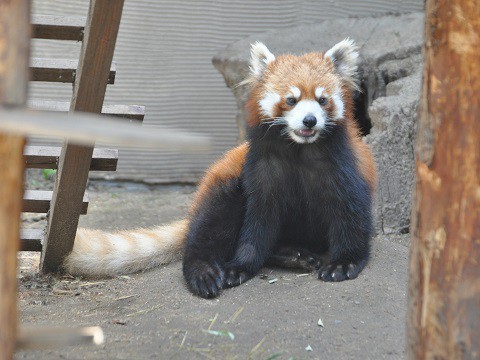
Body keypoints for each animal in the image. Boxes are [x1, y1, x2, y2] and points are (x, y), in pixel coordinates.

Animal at [63, 38, 376, 298]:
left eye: (323, 100)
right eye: (291, 99)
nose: (310, 120)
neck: (299, 149)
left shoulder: (344, 167)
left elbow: (351, 215)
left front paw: (344, 263)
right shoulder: (261, 172)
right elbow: (257, 225)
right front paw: (240, 266)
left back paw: (292, 255)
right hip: (226, 180)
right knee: (210, 226)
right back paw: (205, 271)